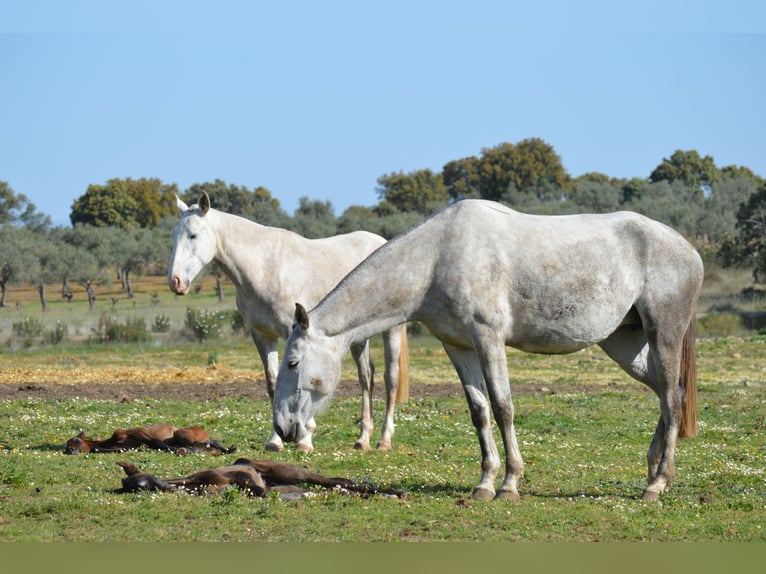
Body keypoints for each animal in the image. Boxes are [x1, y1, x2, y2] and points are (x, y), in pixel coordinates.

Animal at [167, 194, 408, 454]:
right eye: (174, 235)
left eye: (193, 235)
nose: (175, 282)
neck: (265, 267)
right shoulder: (262, 335)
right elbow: (274, 385)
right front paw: (275, 440)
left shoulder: (294, 333)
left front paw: (305, 439)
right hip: (358, 336)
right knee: (366, 377)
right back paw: (363, 439)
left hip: (391, 330)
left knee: (390, 379)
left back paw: (384, 440)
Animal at [276, 201, 708, 504]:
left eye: (293, 362)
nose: (283, 429)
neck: (436, 258)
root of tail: (688, 249)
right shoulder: (459, 346)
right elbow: (479, 411)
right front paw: (485, 483)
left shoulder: (489, 339)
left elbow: (503, 407)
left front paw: (510, 484)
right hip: (623, 343)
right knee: (666, 393)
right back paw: (652, 469)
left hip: (663, 332)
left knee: (672, 398)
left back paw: (657, 484)